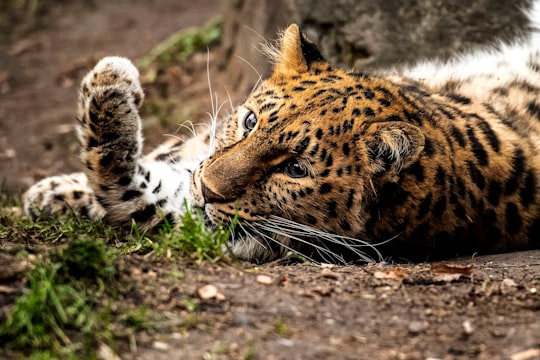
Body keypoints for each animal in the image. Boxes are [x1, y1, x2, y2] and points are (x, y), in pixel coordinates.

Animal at [23, 5, 540, 262]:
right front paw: (50, 191)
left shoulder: (223, 229)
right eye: (251, 122)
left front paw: (112, 82)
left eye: (294, 170)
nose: (208, 191)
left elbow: (127, 189)